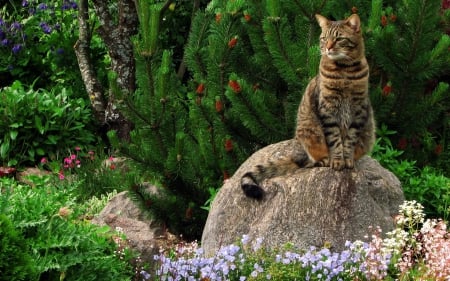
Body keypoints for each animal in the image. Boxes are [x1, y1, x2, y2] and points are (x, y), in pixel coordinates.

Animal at [243, 14, 376, 199]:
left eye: (339, 39)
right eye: (324, 38)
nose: (327, 48)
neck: (345, 71)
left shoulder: (359, 110)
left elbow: (349, 140)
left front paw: (347, 160)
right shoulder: (327, 109)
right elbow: (335, 140)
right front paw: (337, 161)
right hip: (309, 132)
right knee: (313, 160)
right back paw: (324, 160)